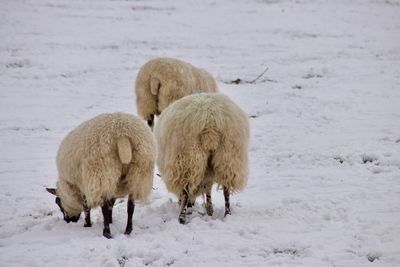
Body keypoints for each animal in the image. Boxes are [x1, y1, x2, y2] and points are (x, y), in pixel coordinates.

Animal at [154, 93, 250, 223]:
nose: (191, 203)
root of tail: (210, 120)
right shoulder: (209, 170)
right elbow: (208, 188)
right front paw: (209, 210)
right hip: (229, 155)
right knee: (226, 188)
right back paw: (227, 214)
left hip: (188, 157)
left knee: (186, 189)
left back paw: (182, 218)